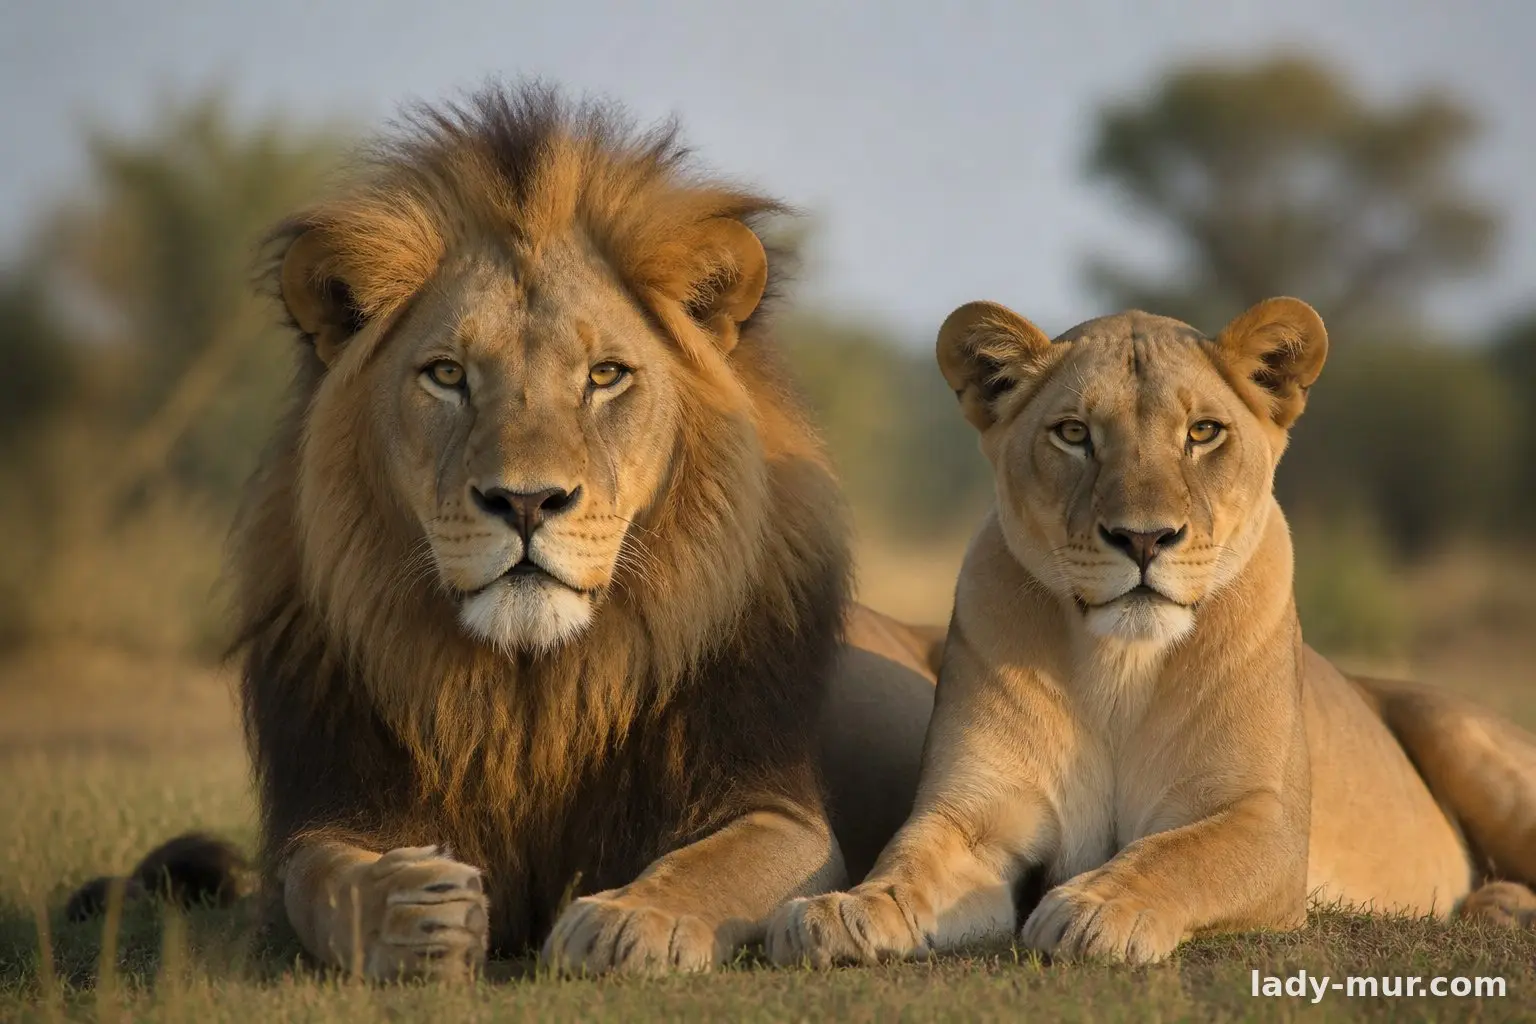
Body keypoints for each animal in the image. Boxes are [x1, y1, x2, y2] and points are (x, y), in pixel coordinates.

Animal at [74, 84, 937, 979]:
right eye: (448, 375)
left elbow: (708, 866)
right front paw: (409, 912)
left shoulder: (773, 804)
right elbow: (323, 878)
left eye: (604, 376)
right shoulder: (334, 805)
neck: (534, 697)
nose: (526, 502)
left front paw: (627, 920)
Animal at [767, 296, 1536, 967]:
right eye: (1074, 433)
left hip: (1463, 736)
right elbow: (910, 859)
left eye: (1202, 433)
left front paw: (1094, 909)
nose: (1143, 539)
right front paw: (843, 909)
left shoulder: (1266, 821)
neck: (1121, 663)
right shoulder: (975, 817)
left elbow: (1180, 854)